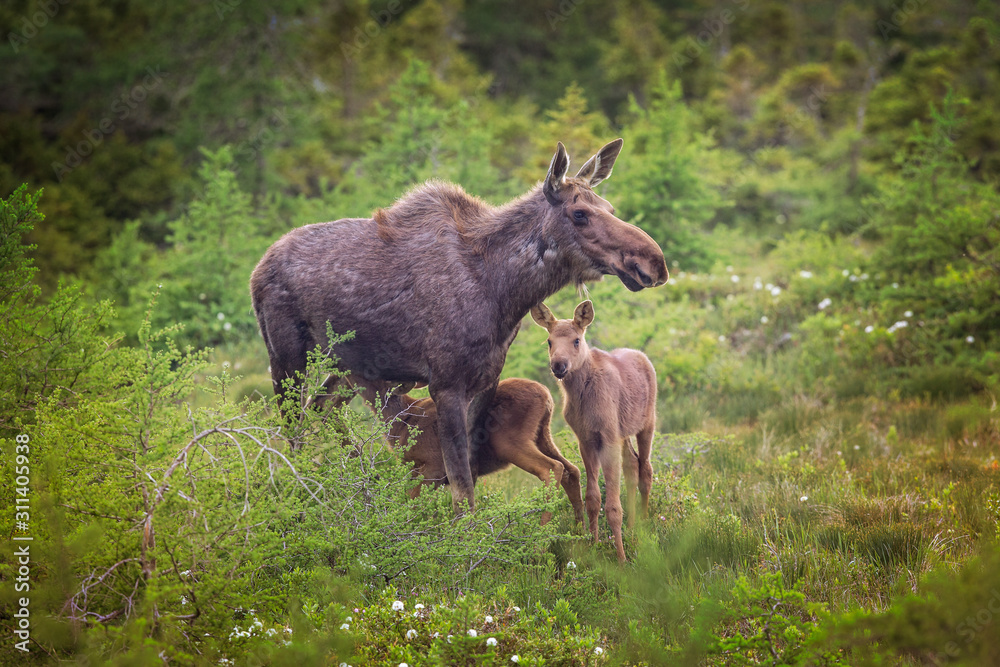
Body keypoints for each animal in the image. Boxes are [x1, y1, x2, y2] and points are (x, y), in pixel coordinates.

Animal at [252, 138, 672, 516]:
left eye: (610, 208)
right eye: (580, 213)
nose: (654, 262)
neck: (503, 291)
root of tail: (258, 269)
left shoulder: (485, 380)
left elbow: (468, 475)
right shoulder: (446, 383)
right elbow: (461, 489)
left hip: (345, 369)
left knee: (318, 415)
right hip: (286, 359)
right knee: (292, 432)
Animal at [528, 300, 660, 560]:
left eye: (576, 340)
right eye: (549, 341)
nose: (559, 365)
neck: (581, 396)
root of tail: (643, 357)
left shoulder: (607, 438)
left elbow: (613, 506)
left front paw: (621, 558)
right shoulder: (586, 439)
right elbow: (592, 498)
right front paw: (594, 544)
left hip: (647, 423)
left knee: (646, 470)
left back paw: (644, 523)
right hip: (623, 432)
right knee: (632, 465)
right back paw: (632, 526)